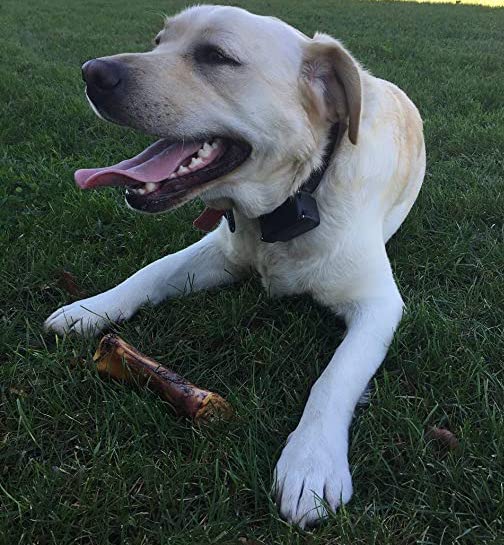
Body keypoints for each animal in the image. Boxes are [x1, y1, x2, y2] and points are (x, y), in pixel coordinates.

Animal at [46, 4, 426, 528]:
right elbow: (150, 272)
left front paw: (312, 461)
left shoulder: (379, 303)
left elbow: (335, 377)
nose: (91, 72)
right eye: (158, 41)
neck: (293, 198)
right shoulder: (221, 252)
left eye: (216, 56)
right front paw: (88, 309)